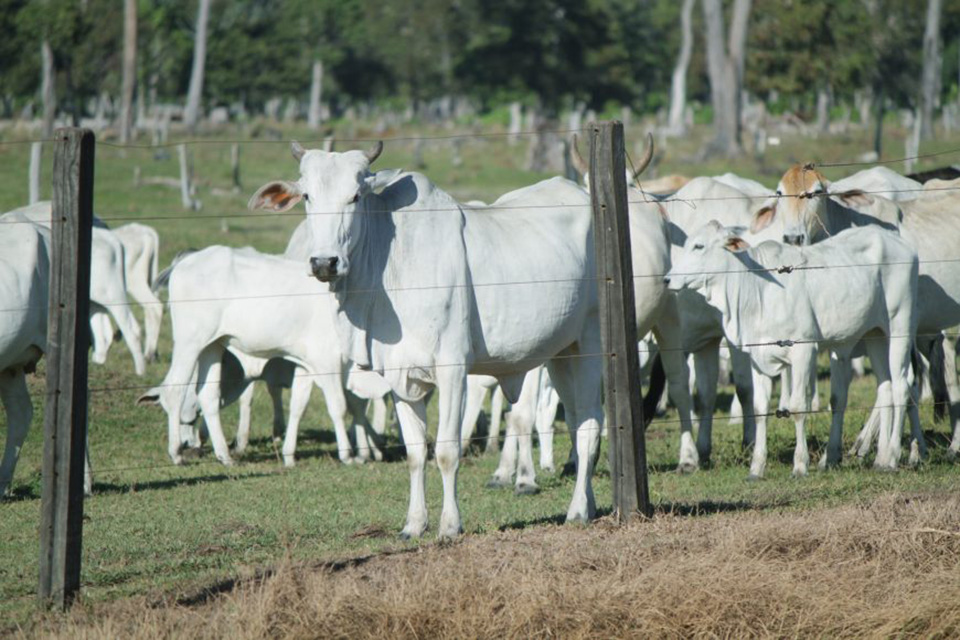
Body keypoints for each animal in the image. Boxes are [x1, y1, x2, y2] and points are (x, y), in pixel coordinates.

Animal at [138, 248, 390, 468]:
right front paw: (348, 455)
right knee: (174, 390)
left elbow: (299, 405)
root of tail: (185, 261)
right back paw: (177, 453)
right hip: (189, 342)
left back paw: (225, 456)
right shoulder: (327, 361)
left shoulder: (306, 365)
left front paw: (289, 456)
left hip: (213, 345)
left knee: (208, 395)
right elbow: (339, 406)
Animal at [248, 141, 652, 540]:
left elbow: (445, 451)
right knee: (577, 419)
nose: (324, 263)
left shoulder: (452, 369)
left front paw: (449, 526)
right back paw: (588, 504)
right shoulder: (400, 375)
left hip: (590, 344)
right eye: (307, 196)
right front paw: (413, 525)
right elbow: (415, 453)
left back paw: (577, 510)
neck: (388, 266)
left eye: (355, 195)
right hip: (561, 353)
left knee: (589, 425)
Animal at [668, 222, 924, 478]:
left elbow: (798, 407)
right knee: (885, 388)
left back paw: (893, 456)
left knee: (902, 387)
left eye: (699, 246)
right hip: (875, 335)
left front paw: (800, 465)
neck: (757, 291)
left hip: (900, 327)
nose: (668, 279)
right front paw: (756, 468)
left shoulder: (804, 351)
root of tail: (894, 239)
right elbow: (760, 409)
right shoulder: (758, 358)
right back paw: (880, 458)